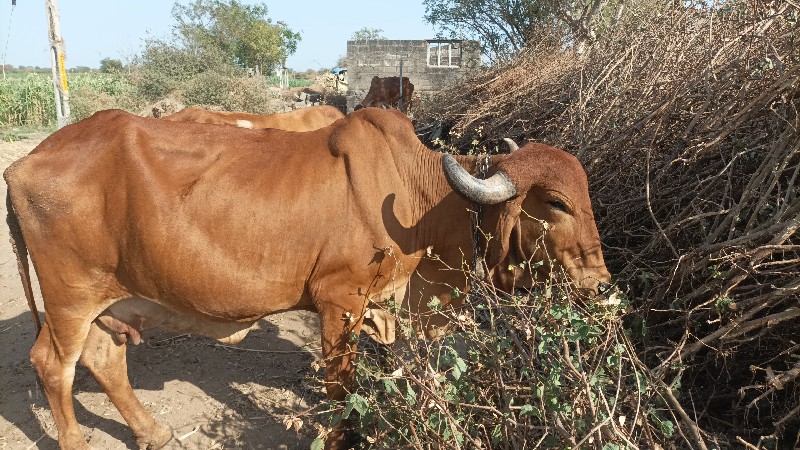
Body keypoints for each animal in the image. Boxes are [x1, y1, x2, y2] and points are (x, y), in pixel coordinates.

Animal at [6, 107, 608, 448]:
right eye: (556, 203)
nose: (601, 283)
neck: (421, 203)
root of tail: (22, 164)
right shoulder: (340, 300)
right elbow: (342, 385)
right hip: (70, 297)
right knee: (53, 366)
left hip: (110, 299)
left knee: (104, 360)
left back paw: (152, 432)